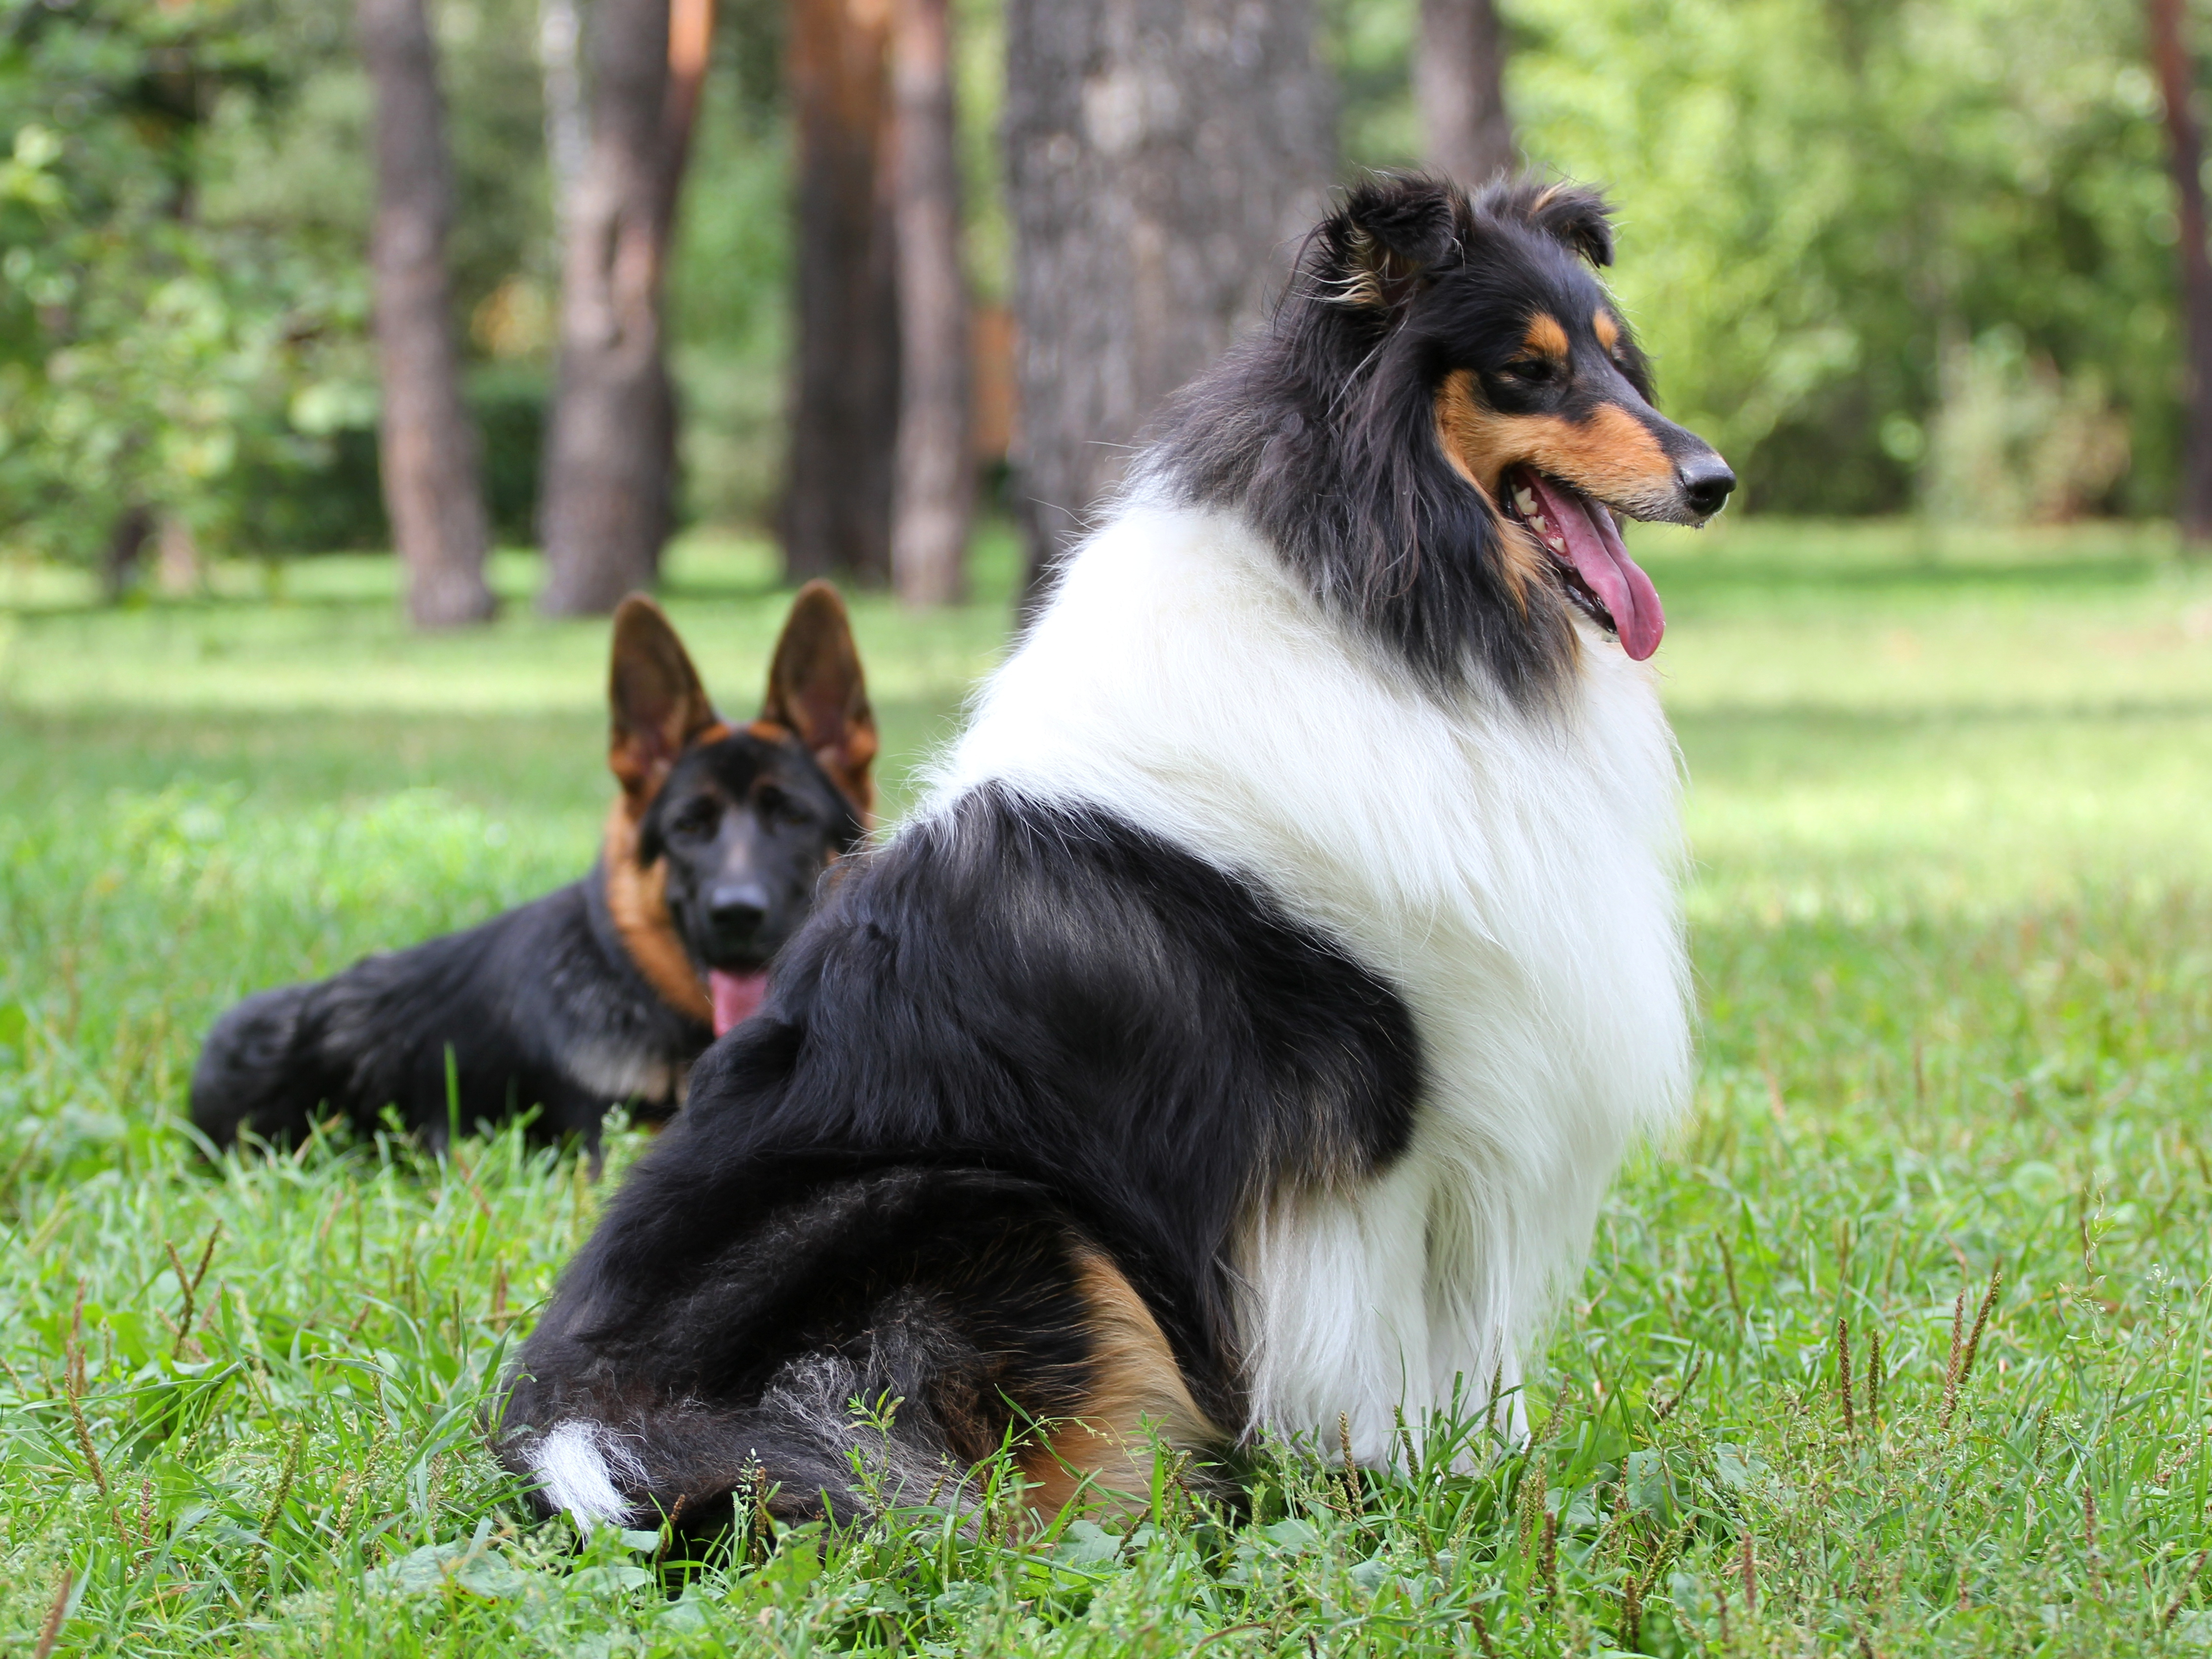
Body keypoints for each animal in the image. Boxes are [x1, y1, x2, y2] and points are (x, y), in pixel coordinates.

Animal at [493, 176, 1734, 1539]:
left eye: (1618, 361)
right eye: (1527, 369)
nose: (1715, 478)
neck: (1384, 600)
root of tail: (581, 1433)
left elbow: (1463, 1354)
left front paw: (1480, 1477)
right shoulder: (1367, 1125)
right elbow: (1378, 1346)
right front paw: (1394, 1487)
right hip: (990, 1207)